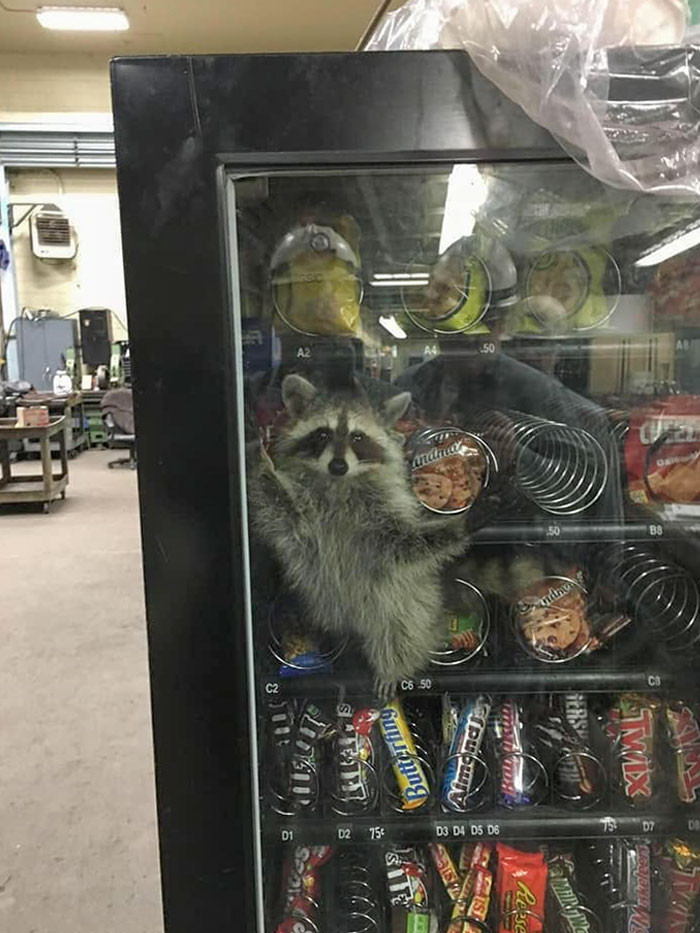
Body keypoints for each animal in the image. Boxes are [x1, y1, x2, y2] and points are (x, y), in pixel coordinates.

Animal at [248, 373, 468, 692]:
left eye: (357, 437)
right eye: (323, 433)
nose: (338, 465)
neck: (339, 483)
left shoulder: (381, 512)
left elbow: (403, 543)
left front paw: (456, 527)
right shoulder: (305, 518)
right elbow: (285, 516)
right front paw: (261, 465)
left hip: (405, 601)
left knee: (399, 628)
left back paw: (392, 668)